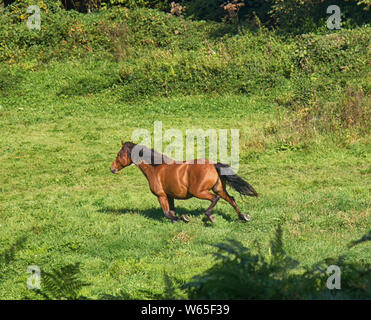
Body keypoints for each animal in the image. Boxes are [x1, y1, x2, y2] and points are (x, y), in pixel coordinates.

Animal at [110, 141, 258, 224]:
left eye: (119, 155)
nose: (112, 169)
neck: (156, 168)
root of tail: (213, 165)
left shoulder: (161, 196)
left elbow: (167, 213)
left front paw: (184, 218)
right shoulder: (170, 196)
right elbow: (171, 212)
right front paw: (178, 220)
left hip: (199, 192)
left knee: (215, 199)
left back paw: (210, 217)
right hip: (219, 189)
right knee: (231, 199)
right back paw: (244, 217)